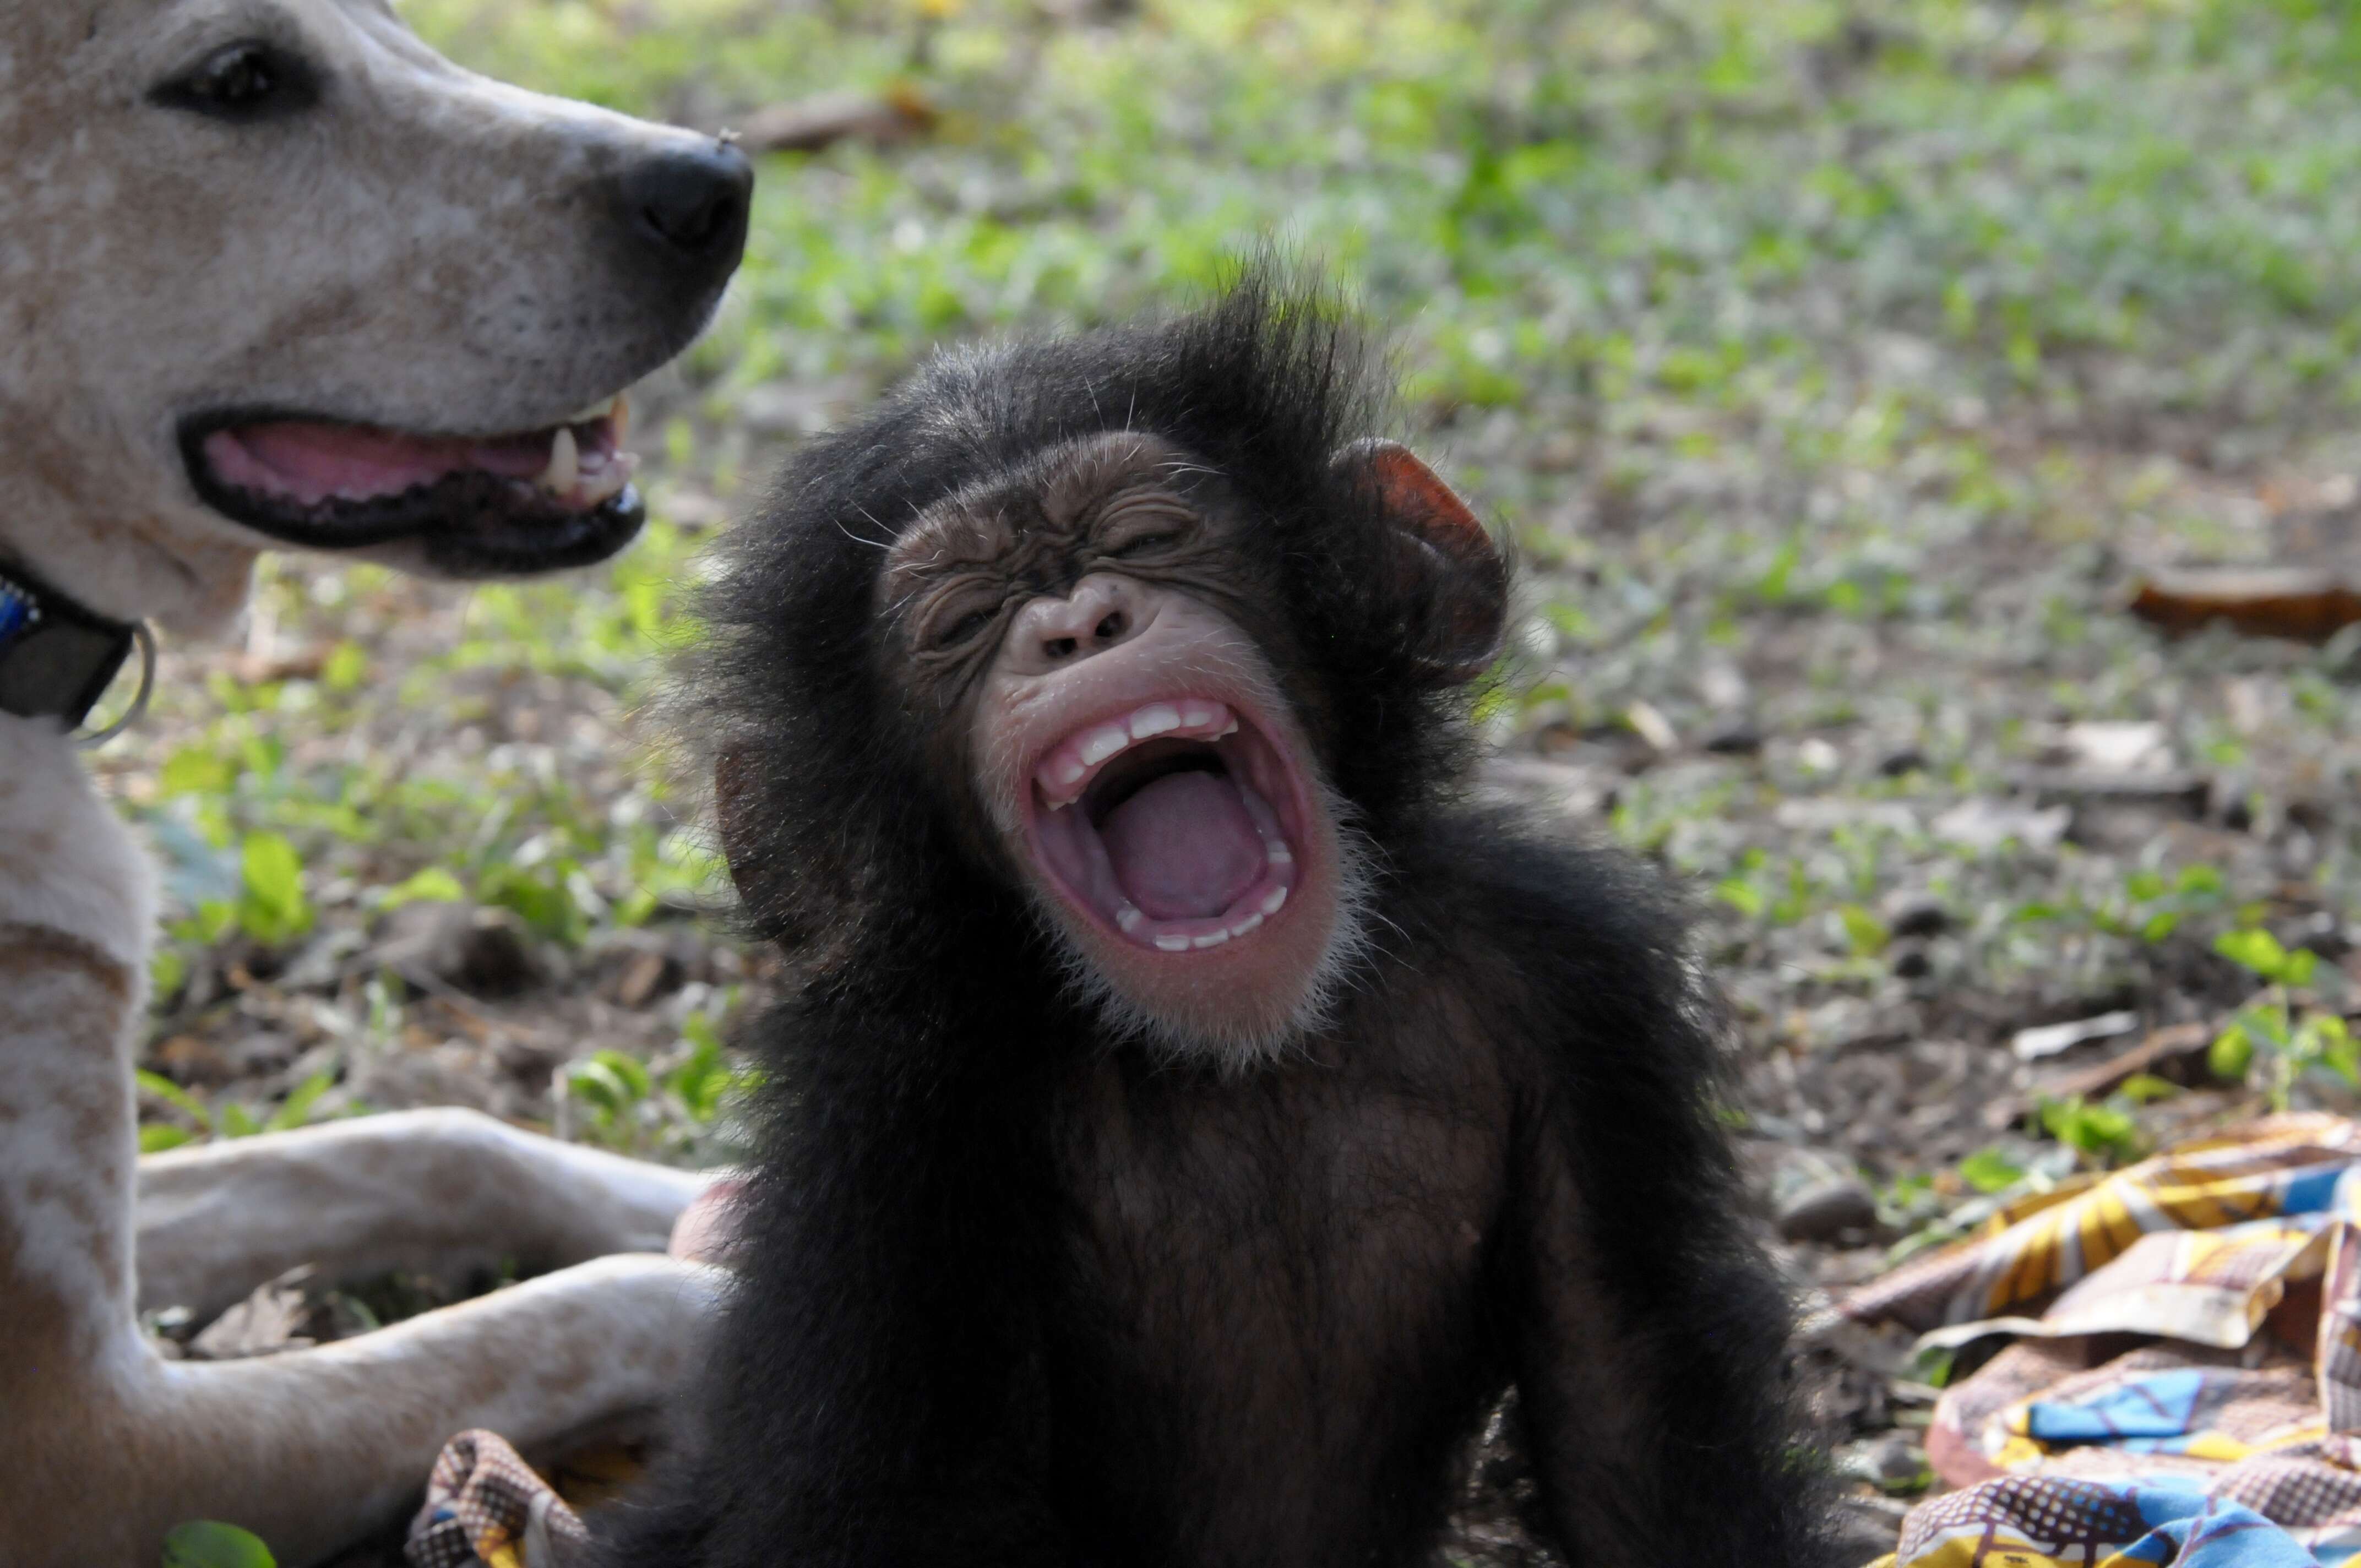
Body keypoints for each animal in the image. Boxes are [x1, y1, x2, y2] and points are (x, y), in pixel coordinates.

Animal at [595, 275, 1841, 1558]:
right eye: (959, 616)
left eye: (1144, 535)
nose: (1076, 623)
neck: (1246, 1054)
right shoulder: (880, 1115)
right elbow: (882, 1501)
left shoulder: (1577, 978)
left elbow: (1626, 1414)